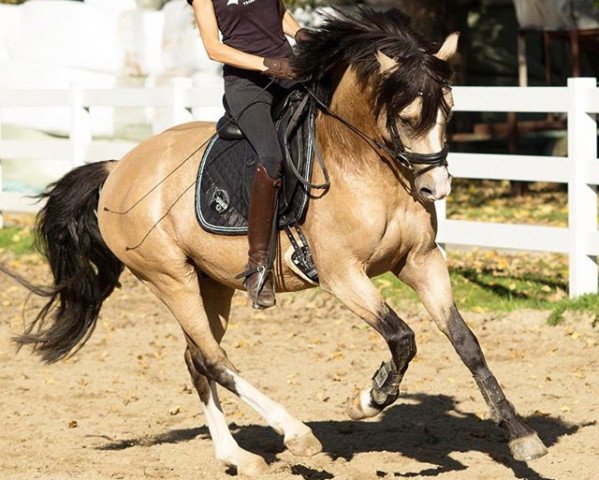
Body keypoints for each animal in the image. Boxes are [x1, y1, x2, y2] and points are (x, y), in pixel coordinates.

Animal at [9, 7, 552, 476]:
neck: (361, 164)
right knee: (213, 359)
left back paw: (237, 456)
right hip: (169, 277)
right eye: (406, 117)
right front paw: (370, 397)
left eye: (450, 112)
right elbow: (402, 338)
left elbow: (466, 343)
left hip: (212, 284)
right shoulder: (342, 275)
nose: (434, 190)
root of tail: (118, 168)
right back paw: (295, 434)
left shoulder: (420, 262)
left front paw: (521, 435)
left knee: (196, 359)